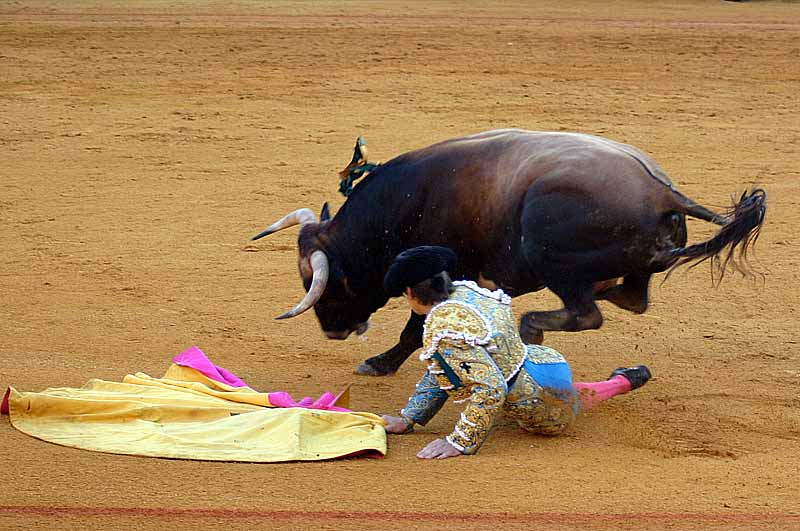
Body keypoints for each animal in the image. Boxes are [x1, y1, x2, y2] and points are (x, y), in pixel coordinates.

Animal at [250, 129, 764, 376]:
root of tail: (662, 192)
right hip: (628, 263)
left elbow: (414, 326)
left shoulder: (437, 272)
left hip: (548, 254)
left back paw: (532, 327)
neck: (407, 204)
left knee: (587, 312)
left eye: (329, 283)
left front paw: (380, 363)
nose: (333, 332)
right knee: (633, 297)